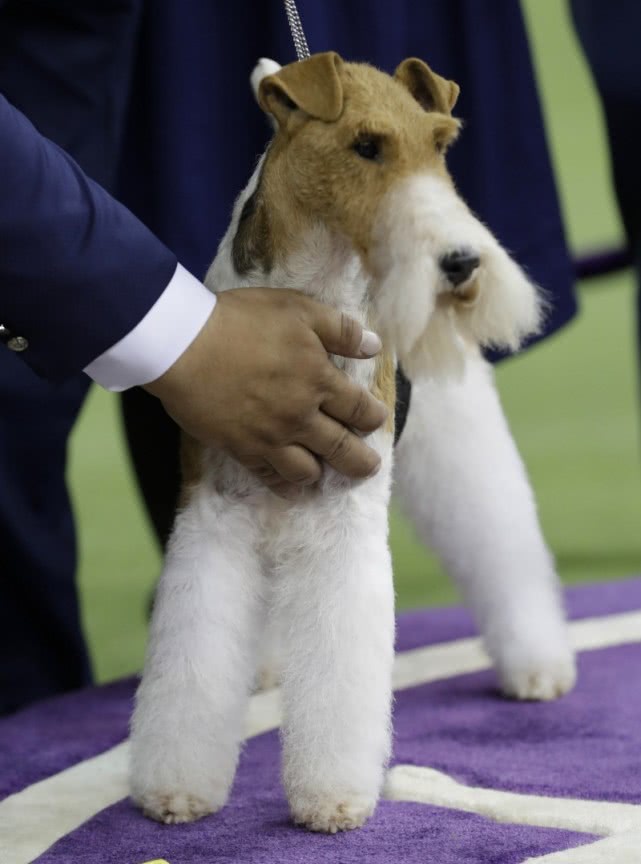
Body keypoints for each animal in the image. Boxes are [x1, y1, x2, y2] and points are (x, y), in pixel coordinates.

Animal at [130, 50, 576, 832]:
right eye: (366, 146)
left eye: (440, 144)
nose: (462, 264)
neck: (313, 294)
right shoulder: (214, 514)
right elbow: (192, 662)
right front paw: (176, 788)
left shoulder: (343, 513)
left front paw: (332, 796)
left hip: (457, 441)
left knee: (502, 550)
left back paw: (538, 666)